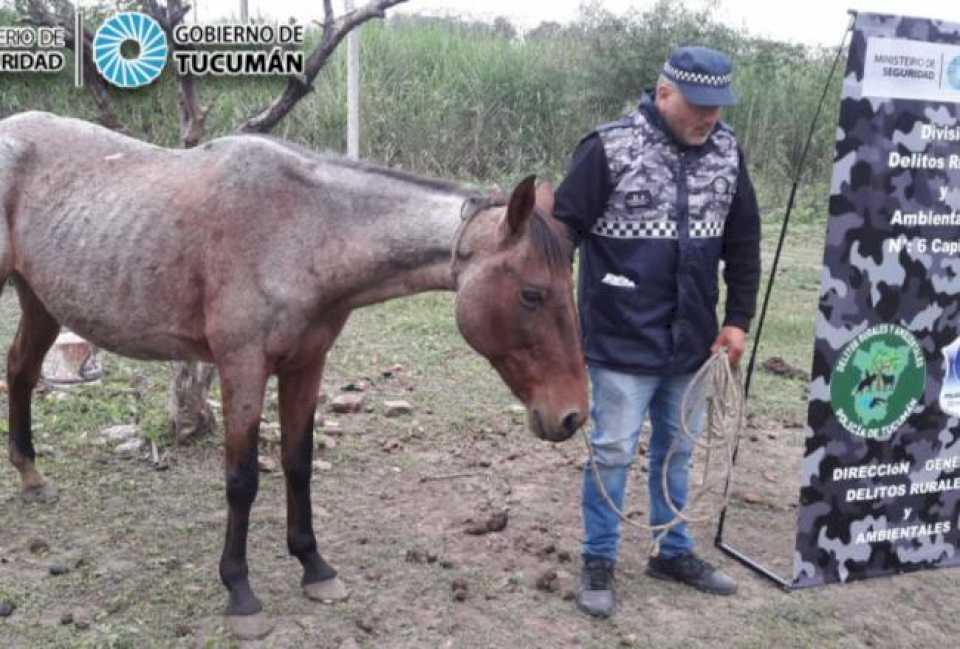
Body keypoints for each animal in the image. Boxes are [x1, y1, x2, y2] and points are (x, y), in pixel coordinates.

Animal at [0, 111, 588, 636]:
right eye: (532, 294)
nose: (572, 415)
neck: (303, 229)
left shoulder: (307, 363)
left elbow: (298, 463)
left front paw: (314, 567)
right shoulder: (242, 367)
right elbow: (242, 480)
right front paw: (240, 591)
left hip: (40, 302)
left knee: (21, 371)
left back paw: (31, 475)